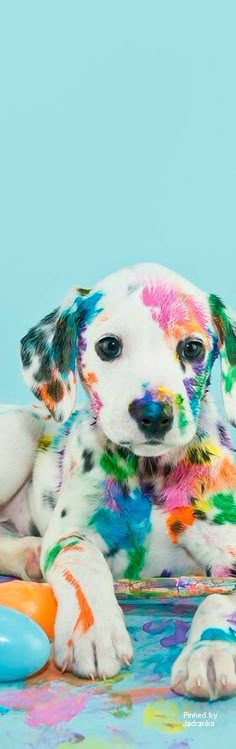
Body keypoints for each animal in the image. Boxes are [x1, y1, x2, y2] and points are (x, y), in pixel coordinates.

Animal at [0, 262, 236, 696]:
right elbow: (83, 562)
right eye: (109, 346)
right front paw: (94, 631)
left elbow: (219, 598)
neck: (151, 471)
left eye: (192, 348)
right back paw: (27, 553)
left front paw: (209, 651)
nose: (154, 414)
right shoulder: (72, 533)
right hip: (18, 434)